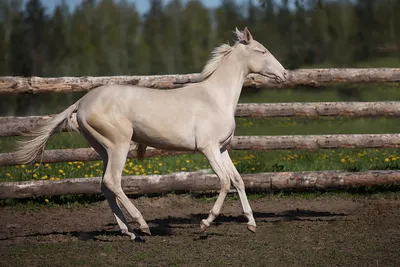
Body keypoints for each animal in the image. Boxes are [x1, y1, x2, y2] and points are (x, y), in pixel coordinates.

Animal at [14, 27, 286, 243]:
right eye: (262, 51)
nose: (284, 75)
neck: (215, 98)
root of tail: (81, 102)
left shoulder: (222, 149)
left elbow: (238, 180)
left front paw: (251, 223)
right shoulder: (208, 149)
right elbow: (224, 182)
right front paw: (205, 223)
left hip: (103, 150)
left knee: (105, 186)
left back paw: (129, 232)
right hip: (119, 145)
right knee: (113, 181)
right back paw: (142, 226)